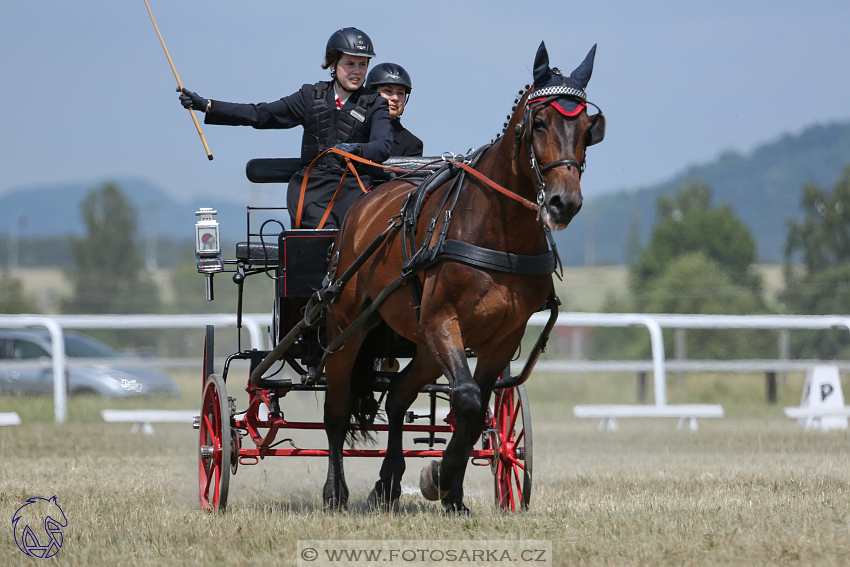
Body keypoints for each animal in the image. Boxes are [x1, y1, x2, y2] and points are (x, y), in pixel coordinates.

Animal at [318, 42, 604, 512]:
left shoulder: (501, 336)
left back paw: (388, 483)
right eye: (539, 122)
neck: (497, 230)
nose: (564, 203)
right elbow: (468, 400)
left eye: (587, 127)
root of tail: (364, 205)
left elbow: (476, 411)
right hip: (347, 325)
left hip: (423, 343)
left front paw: (449, 488)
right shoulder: (441, 320)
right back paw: (336, 491)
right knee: (337, 410)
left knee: (399, 394)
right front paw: (438, 477)